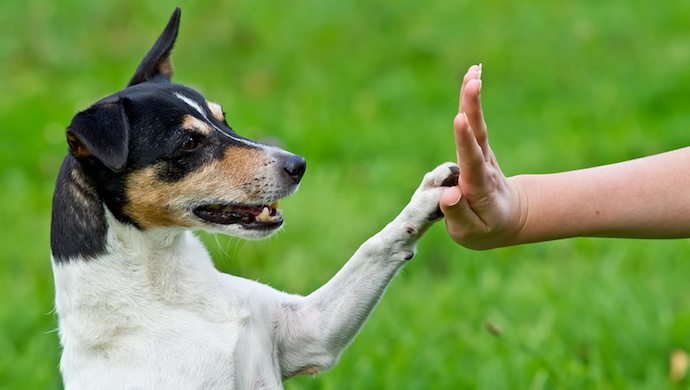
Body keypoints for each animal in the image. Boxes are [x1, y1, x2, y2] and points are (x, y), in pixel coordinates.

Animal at [49, 6, 456, 390]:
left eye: (223, 118)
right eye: (189, 142)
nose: (298, 165)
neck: (168, 289)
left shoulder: (310, 331)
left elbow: (374, 247)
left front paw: (428, 197)